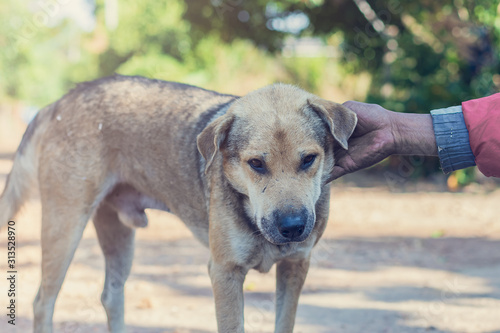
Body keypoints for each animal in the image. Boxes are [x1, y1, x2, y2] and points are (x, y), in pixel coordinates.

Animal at [1, 75, 358, 332]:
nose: (293, 227)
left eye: (309, 159)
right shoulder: (225, 273)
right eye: (256, 164)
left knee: (111, 296)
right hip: (64, 227)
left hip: (118, 236)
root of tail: (57, 103)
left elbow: (285, 322)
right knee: (42, 302)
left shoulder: (295, 266)